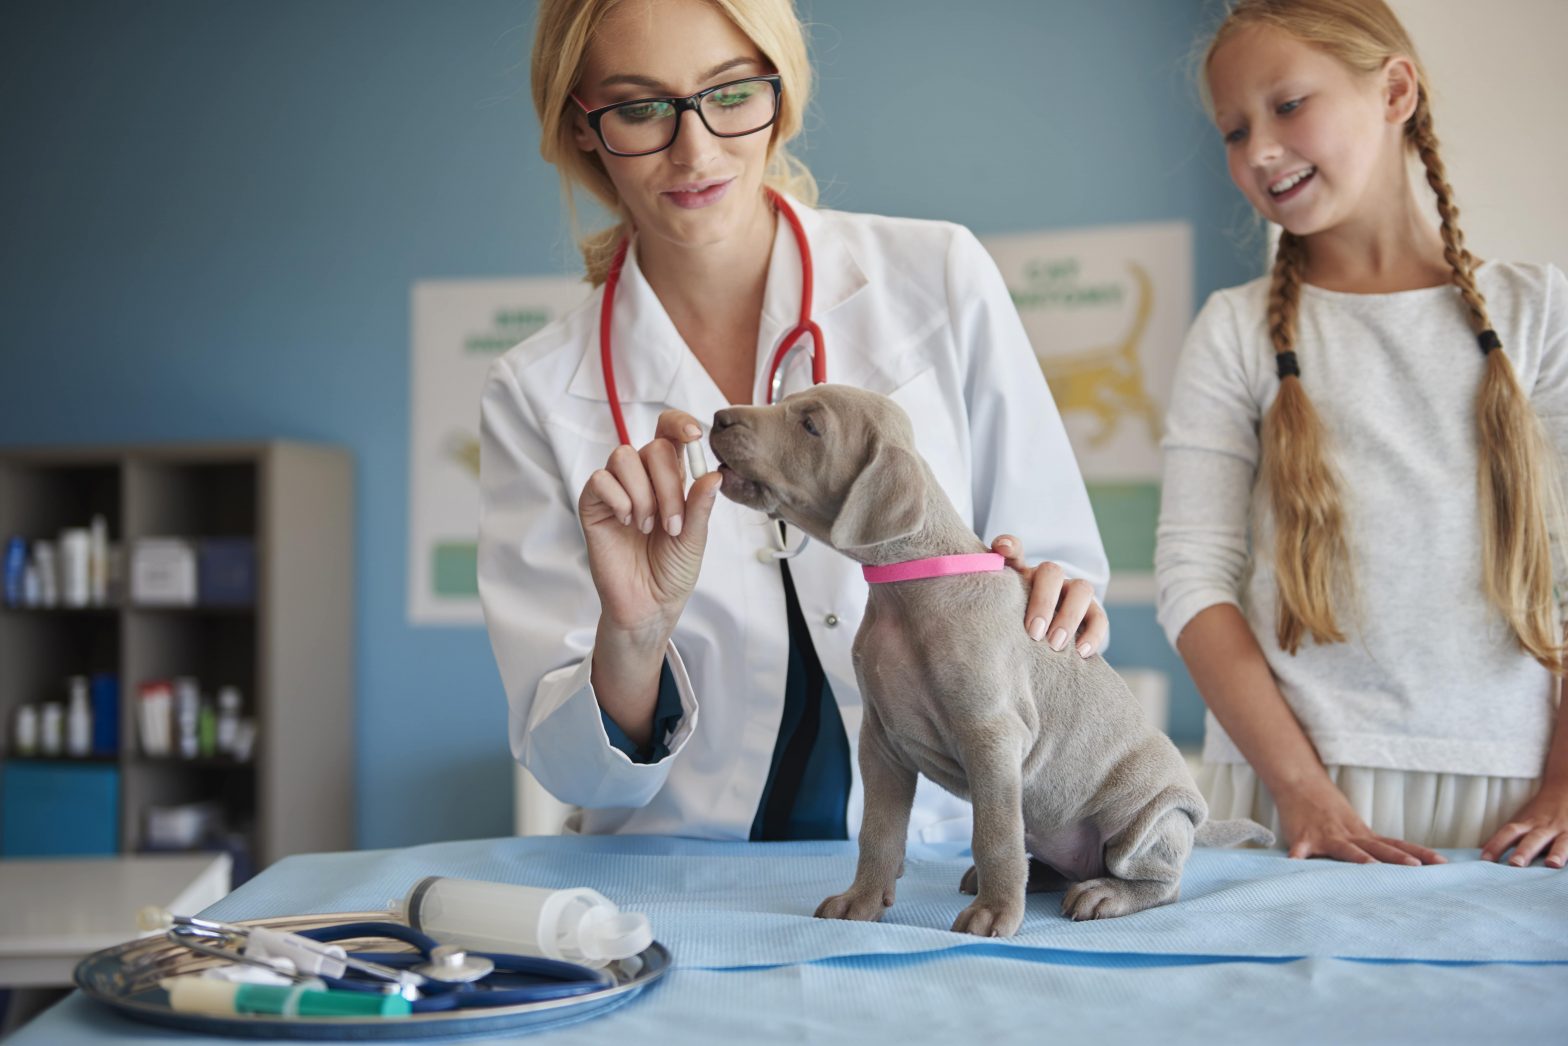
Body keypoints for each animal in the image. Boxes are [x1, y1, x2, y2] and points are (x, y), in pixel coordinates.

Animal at [705, 381, 1266, 934]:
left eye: (810, 426)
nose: (718, 418)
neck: (910, 588)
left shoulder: (991, 737)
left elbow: (994, 835)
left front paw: (995, 913)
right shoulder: (881, 742)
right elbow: (877, 831)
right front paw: (860, 900)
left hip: (1145, 818)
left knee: (1159, 881)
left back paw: (1105, 892)